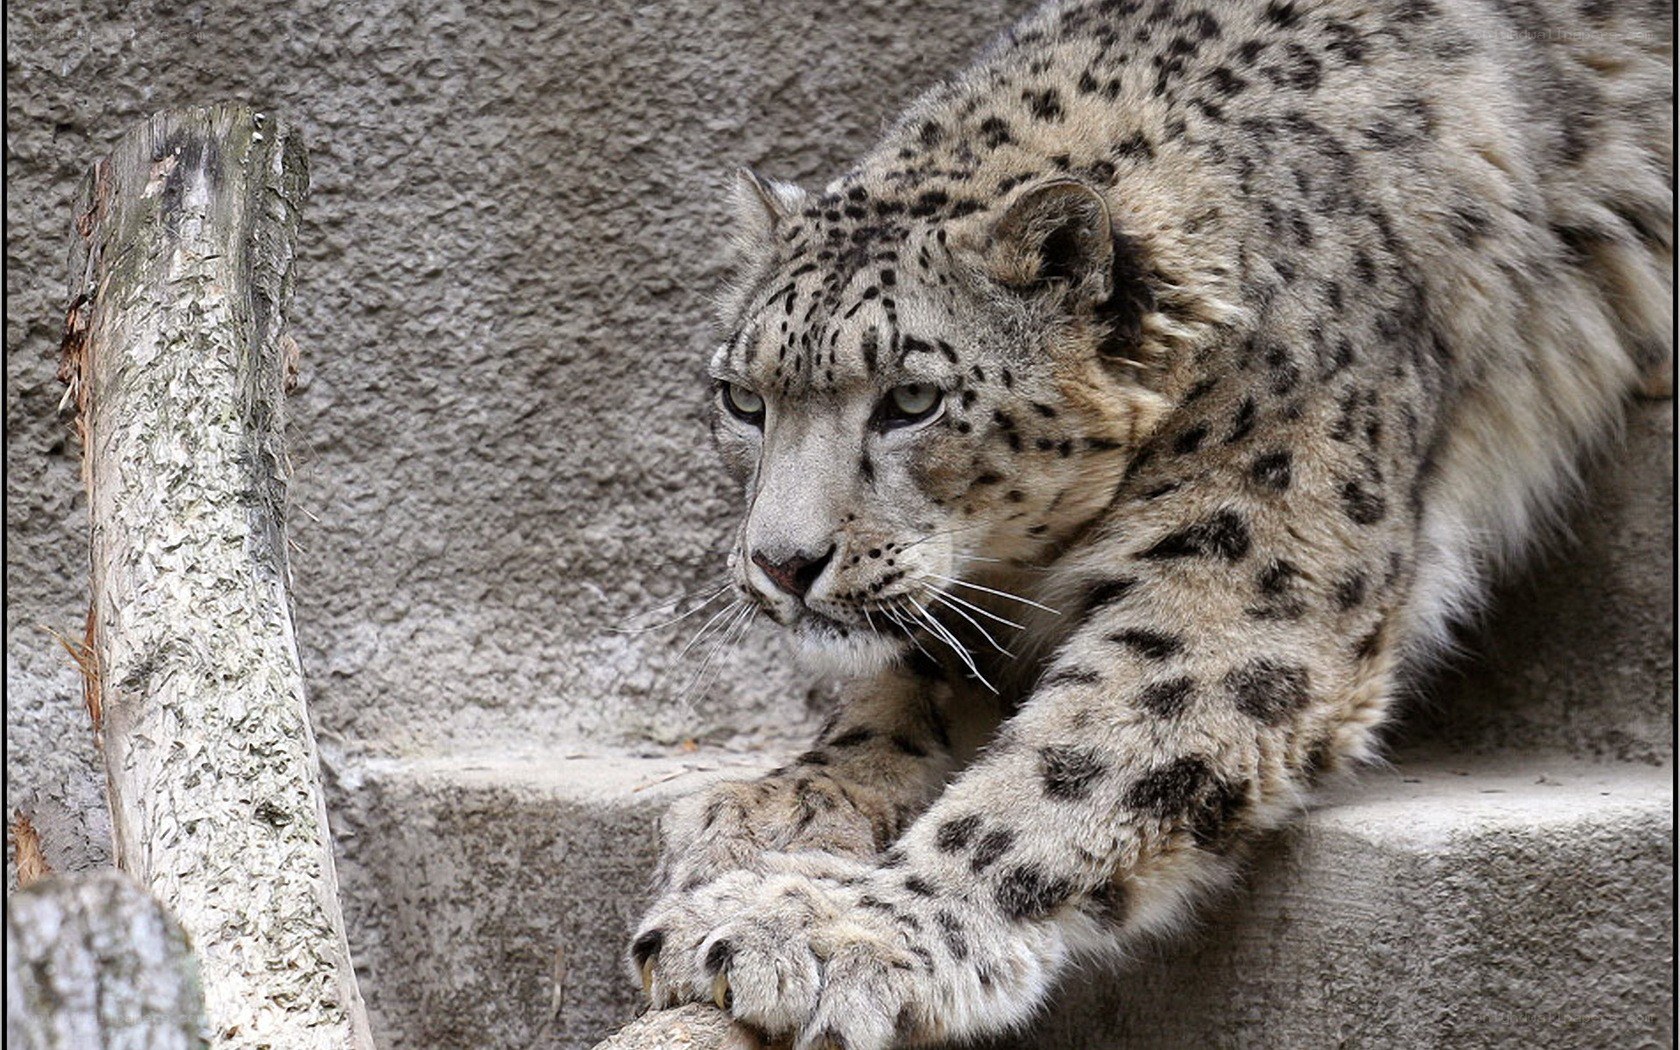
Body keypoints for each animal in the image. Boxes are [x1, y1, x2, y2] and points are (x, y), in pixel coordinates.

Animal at [627, 0, 1673, 1046]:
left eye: (913, 399)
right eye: (743, 399)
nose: (782, 562)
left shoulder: (1243, 577)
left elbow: (1068, 769)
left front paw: (830, 927)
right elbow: (903, 692)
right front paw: (774, 809)